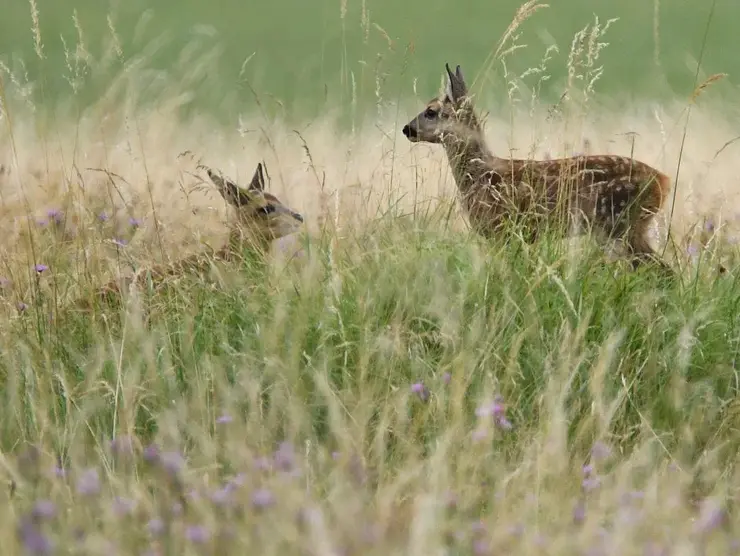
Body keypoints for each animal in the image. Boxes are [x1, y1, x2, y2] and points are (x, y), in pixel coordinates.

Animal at [402, 63, 672, 272]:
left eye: (431, 111)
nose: (407, 129)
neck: (477, 173)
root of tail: (663, 181)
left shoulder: (502, 229)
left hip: (622, 225)